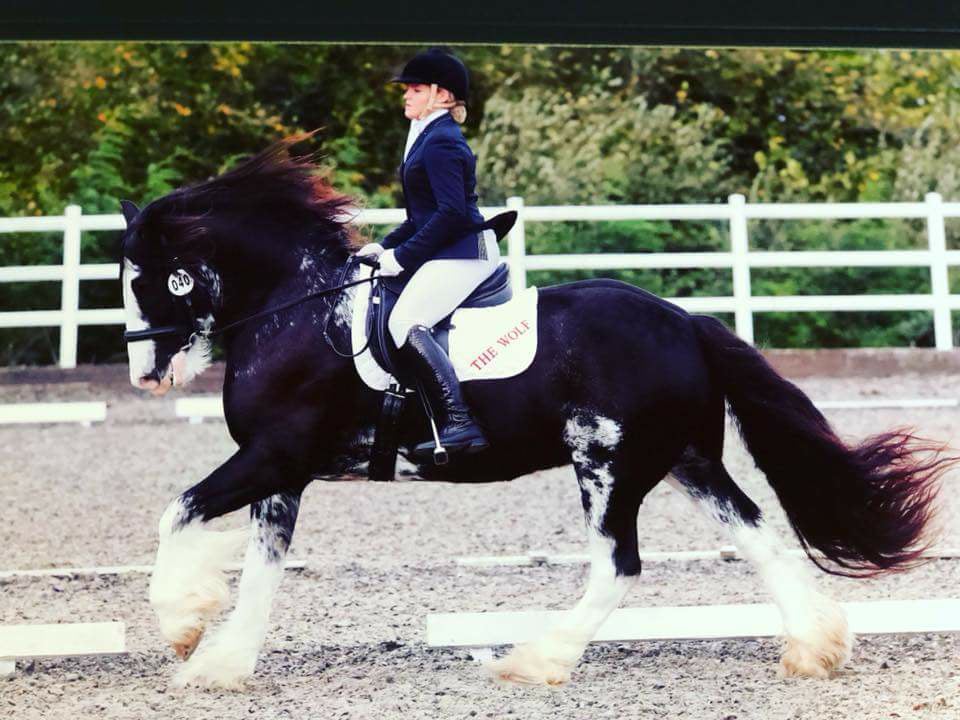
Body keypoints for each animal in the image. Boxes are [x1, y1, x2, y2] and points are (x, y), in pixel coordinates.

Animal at [122, 138, 952, 688]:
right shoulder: (284, 472)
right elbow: (260, 566)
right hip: (687, 462)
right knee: (757, 537)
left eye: (149, 278)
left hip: (608, 464)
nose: (144, 374)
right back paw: (816, 649)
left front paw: (182, 626)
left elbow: (177, 511)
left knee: (618, 565)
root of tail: (685, 323)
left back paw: (535, 659)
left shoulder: (275, 455)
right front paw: (221, 660)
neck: (294, 309)